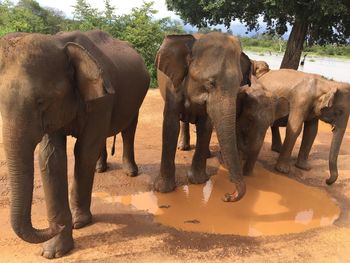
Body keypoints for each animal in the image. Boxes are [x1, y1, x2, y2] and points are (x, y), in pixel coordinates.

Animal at [0, 29, 149, 258]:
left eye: (41, 101)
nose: (56, 225)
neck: (59, 43)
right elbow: (51, 158)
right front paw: (53, 252)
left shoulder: (102, 100)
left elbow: (84, 151)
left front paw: (79, 223)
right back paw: (100, 169)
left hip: (136, 97)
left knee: (129, 128)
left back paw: (130, 172)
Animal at [154, 32, 250, 202]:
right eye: (211, 83)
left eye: (239, 83)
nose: (227, 196)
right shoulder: (173, 86)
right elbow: (171, 125)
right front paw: (164, 190)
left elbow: (206, 126)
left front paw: (198, 181)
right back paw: (183, 147)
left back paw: (206, 154)